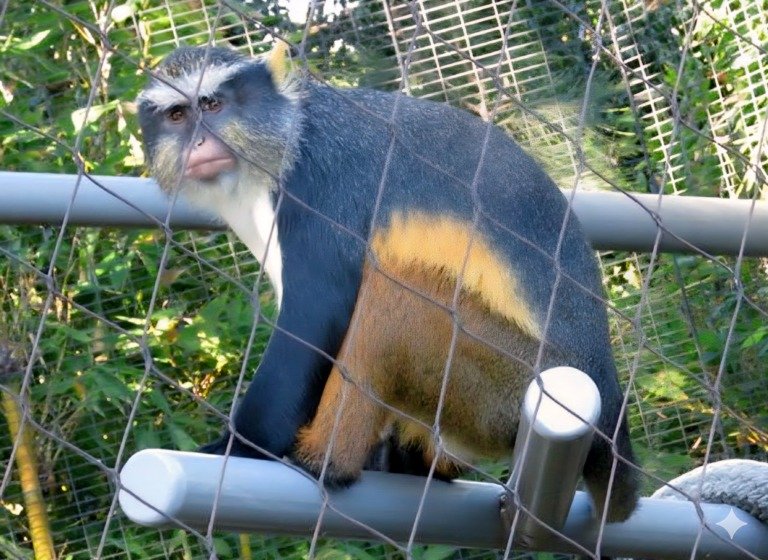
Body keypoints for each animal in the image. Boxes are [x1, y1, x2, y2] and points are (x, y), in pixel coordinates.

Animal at [136, 44, 639, 523]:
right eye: (177, 115)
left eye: (213, 103)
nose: (199, 140)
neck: (285, 137)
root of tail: (609, 401)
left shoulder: (318, 186)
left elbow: (316, 315)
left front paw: (238, 446)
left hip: (508, 387)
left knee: (395, 295)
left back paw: (325, 462)